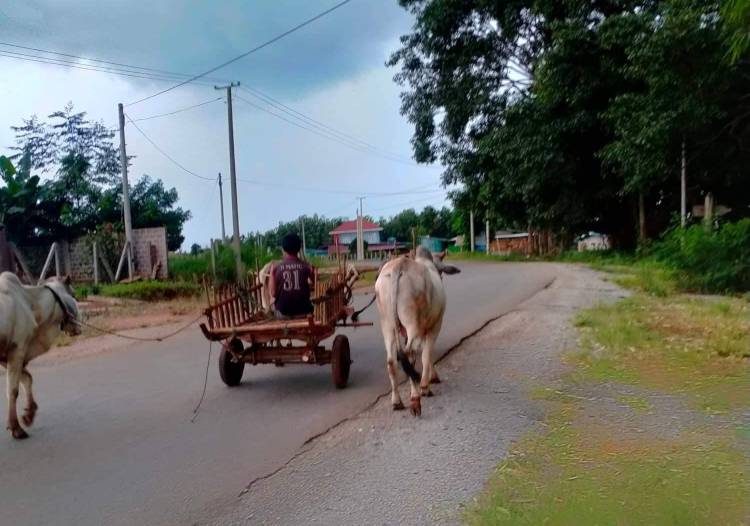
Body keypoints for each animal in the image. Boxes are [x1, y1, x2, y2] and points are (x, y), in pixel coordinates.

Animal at [0, 272, 80, 439]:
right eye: (74, 294)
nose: (79, 326)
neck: (29, 301)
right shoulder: (17, 349)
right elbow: (13, 390)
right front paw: (16, 428)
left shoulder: (6, 355)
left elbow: (27, 379)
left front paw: (29, 414)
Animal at [374, 247, 460, 417]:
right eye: (440, 270)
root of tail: (398, 266)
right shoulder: (434, 326)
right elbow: (426, 355)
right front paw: (426, 385)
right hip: (412, 324)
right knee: (408, 354)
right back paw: (415, 399)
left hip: (387, 324)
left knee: (392, 361)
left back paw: (397, 401)